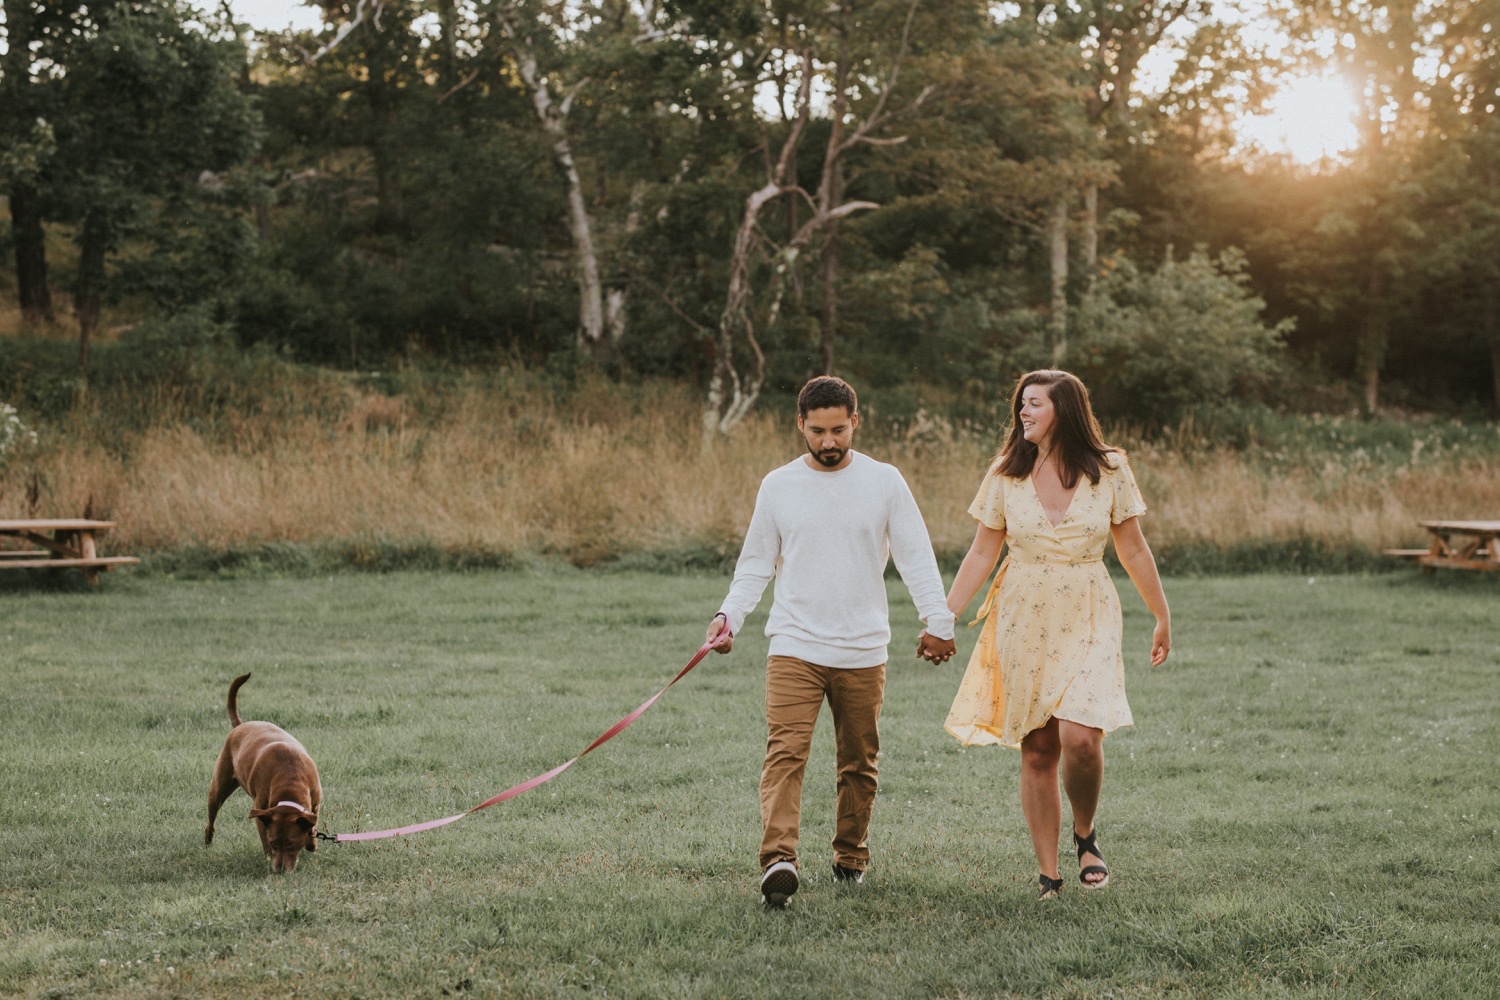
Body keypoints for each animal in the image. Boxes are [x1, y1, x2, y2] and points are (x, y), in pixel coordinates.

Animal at [205, 671, 322, 875]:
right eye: (274, 844)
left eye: (291, 844)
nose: (280, 869)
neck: (290, 780)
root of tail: (241, 725)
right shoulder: (261, 812)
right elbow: (264, 838)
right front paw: (269, 859)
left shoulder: (315, 804)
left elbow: (313, 824)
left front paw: (312, 842)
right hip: (219, 788)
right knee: (211, 817)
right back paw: (208, 839)